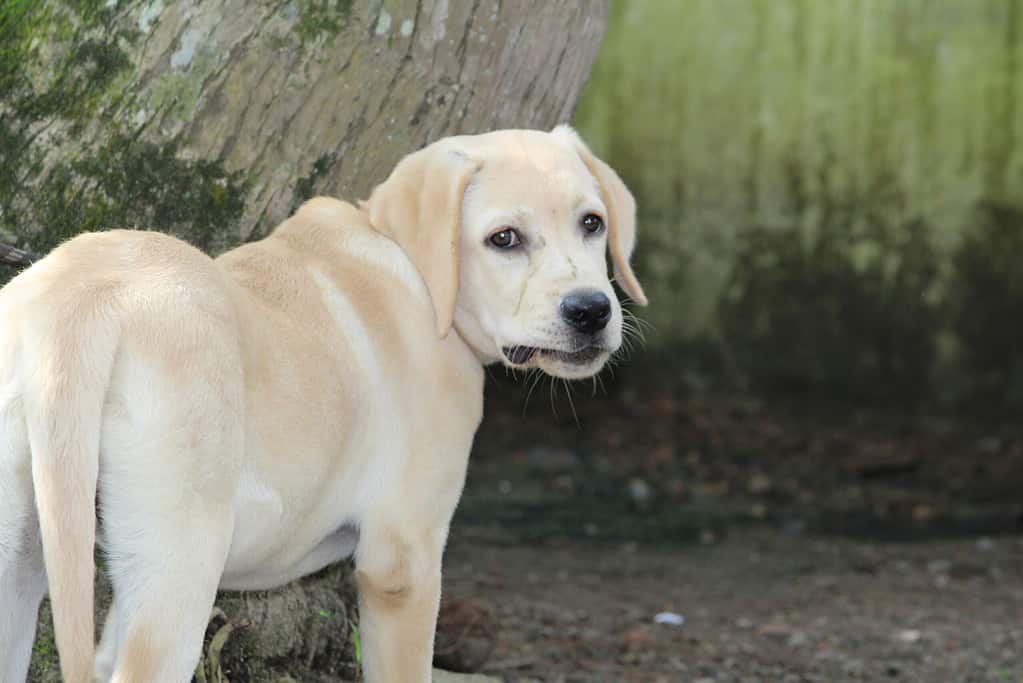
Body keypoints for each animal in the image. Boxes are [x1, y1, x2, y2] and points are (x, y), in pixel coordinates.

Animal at [0, 125, 642, 678]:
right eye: (503, 239)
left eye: (593, 224)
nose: (592, 311)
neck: (415, 271)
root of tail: (82, 299)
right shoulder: (402, 562)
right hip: (179, 569)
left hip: (28, 568)